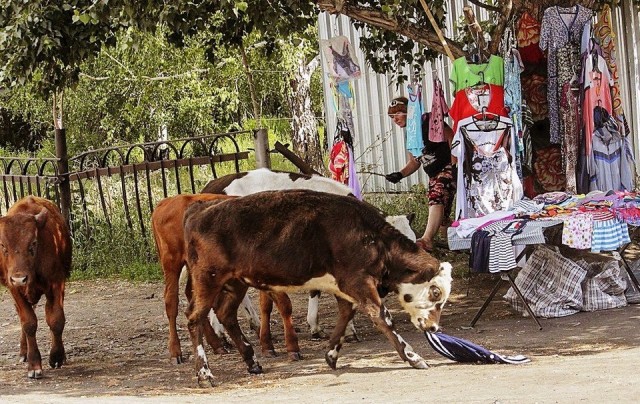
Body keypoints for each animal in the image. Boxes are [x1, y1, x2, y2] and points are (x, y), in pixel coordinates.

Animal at [0, 196, 72, 378]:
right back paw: (23, 352)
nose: (19, 279)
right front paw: (33, 365)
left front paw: (57, 357)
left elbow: (56, 319)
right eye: (3, 246)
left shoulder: (57, 283)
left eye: (33, 243)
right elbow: (28, 323)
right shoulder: (14, 289)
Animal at [151, 192, 302, 362]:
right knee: (171, 302)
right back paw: (176, 351)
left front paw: (267, 345)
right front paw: (292, 347)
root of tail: (167, 201)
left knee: (192, 296)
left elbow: (267, 305)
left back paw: (216, 344)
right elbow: (284, 304)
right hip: (172, 262)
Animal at [182, 189, 452, 386]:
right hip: (208, 279)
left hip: (235, 283)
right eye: (435, 292)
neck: (372, 238)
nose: (434, 327)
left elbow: (346, 315)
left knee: (225, 314)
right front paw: (413, 357)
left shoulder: (347, 289)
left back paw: (252, 361)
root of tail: (199, 210)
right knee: (194, 318)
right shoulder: (359, 283)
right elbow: (382, 317)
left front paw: (331, 355)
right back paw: (205, 374)